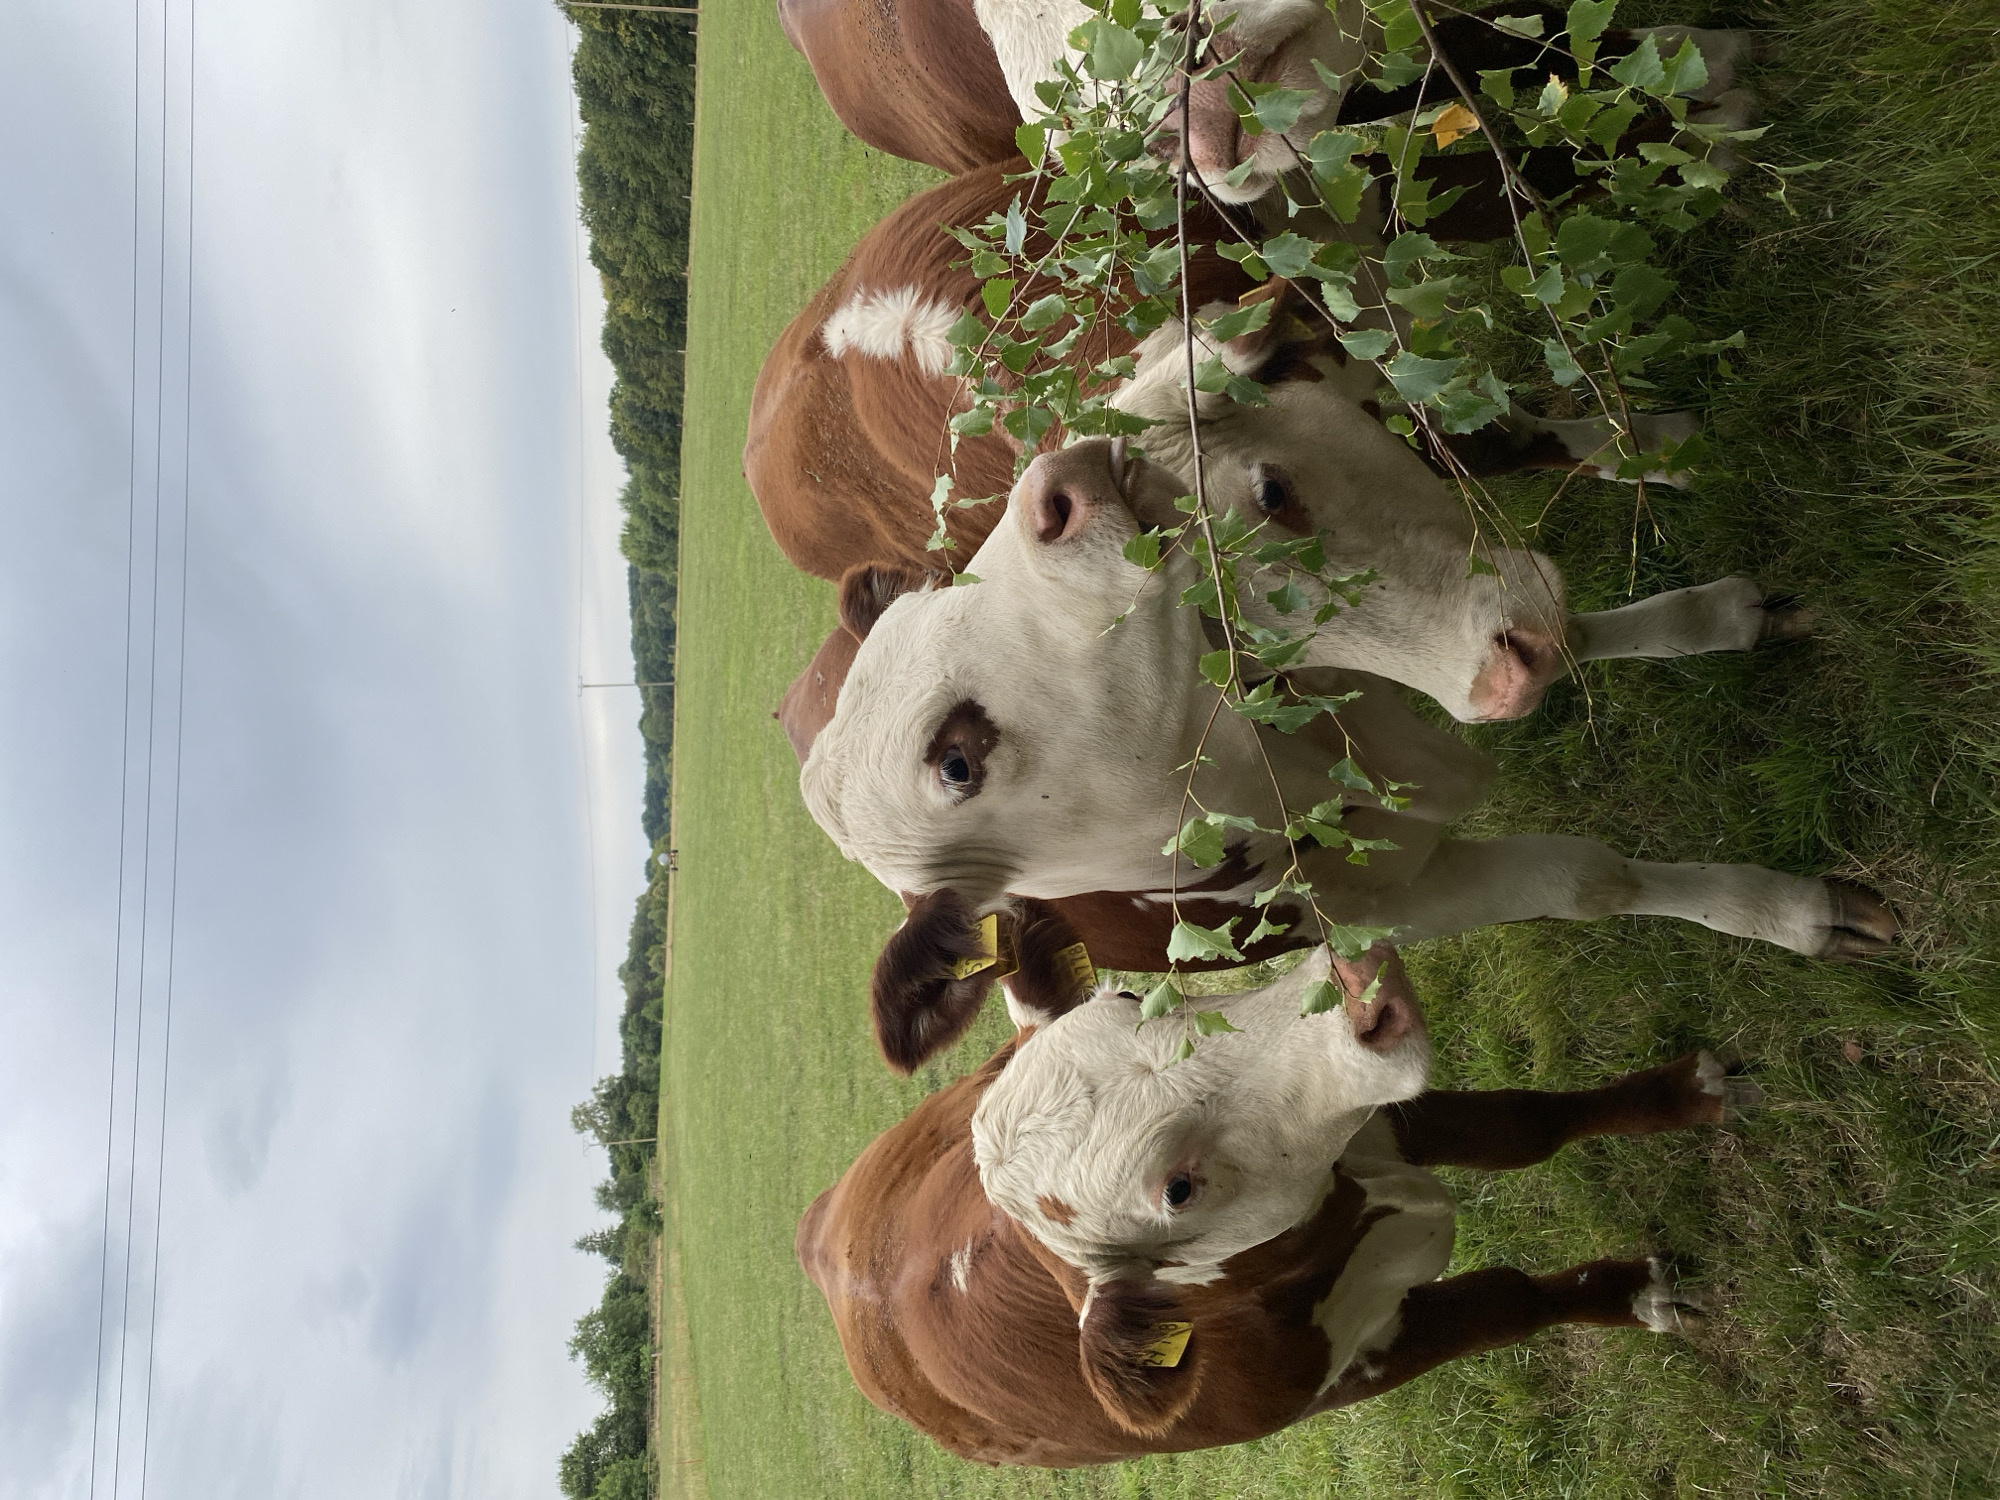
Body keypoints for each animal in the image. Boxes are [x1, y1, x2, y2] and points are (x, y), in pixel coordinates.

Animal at [797, 436, 1897, 1068]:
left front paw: (1728, 615)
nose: (1049, 491)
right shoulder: (1397, 904)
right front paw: (1793, 913)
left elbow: (1556, 635)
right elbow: (1593, 880)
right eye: (954, 764)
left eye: (946, 584)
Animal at [798, 939, 1755, 1466]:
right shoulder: (1361, 1365)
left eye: (1127, 993)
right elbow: (1510, 1302)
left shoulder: (1379, 1123)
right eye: (1175, 1189)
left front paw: (1687, 1094)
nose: (1360, 989)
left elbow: (1530, 1127)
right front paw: (1638, 1294)